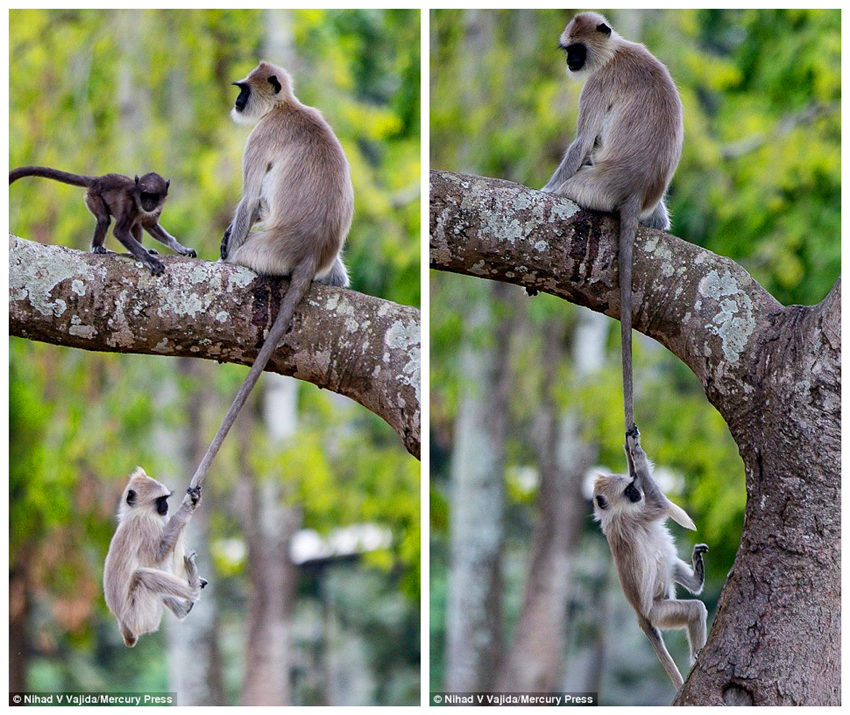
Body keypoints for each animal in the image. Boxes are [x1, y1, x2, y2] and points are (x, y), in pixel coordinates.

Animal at [544, 11, 684, 436]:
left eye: (576, 50)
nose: (571, 63)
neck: (615, 51)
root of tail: (635, 191)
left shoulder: (598, 82)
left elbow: (581, 142)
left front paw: (543, 190)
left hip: (593, 185)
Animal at [592, 428, 704, 692]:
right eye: (628, 491)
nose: (637, 491)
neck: (614, 516)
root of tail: (641, 614)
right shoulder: (633, 516)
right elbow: (661, 504)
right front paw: (639, 457)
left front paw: (630, 447)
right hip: (660, 613)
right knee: (695, 609)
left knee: (668, 560)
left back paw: (697, 577)